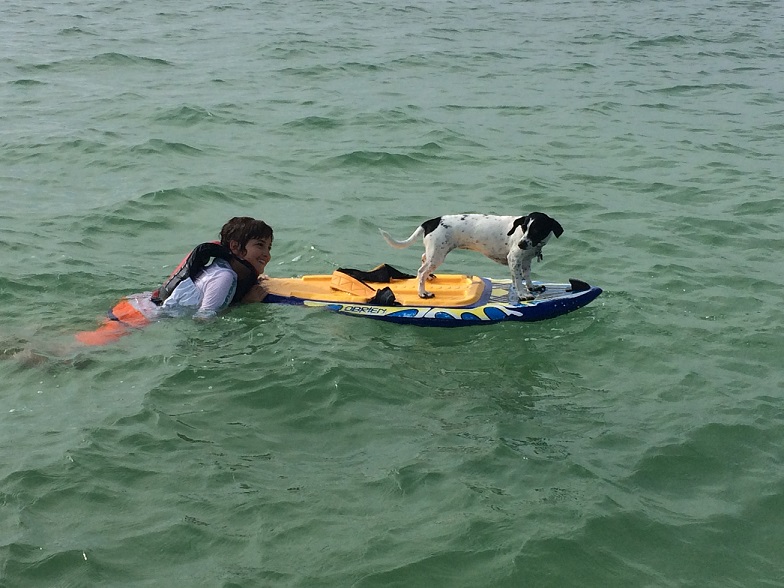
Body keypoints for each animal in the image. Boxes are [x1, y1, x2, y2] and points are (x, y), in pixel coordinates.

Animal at [380, 212, 564, 304]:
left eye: (536, 230)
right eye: (524, 227)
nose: (521, 244)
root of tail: (431, 221)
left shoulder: (525, 261)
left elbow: (527, 276)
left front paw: (531, 287)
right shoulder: (514, 259)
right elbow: (518, 280)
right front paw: (523, 294)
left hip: (434, 252)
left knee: (424, 259)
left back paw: (429, 278)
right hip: (438, 255)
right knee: (420, 272)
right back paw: (422, 292)